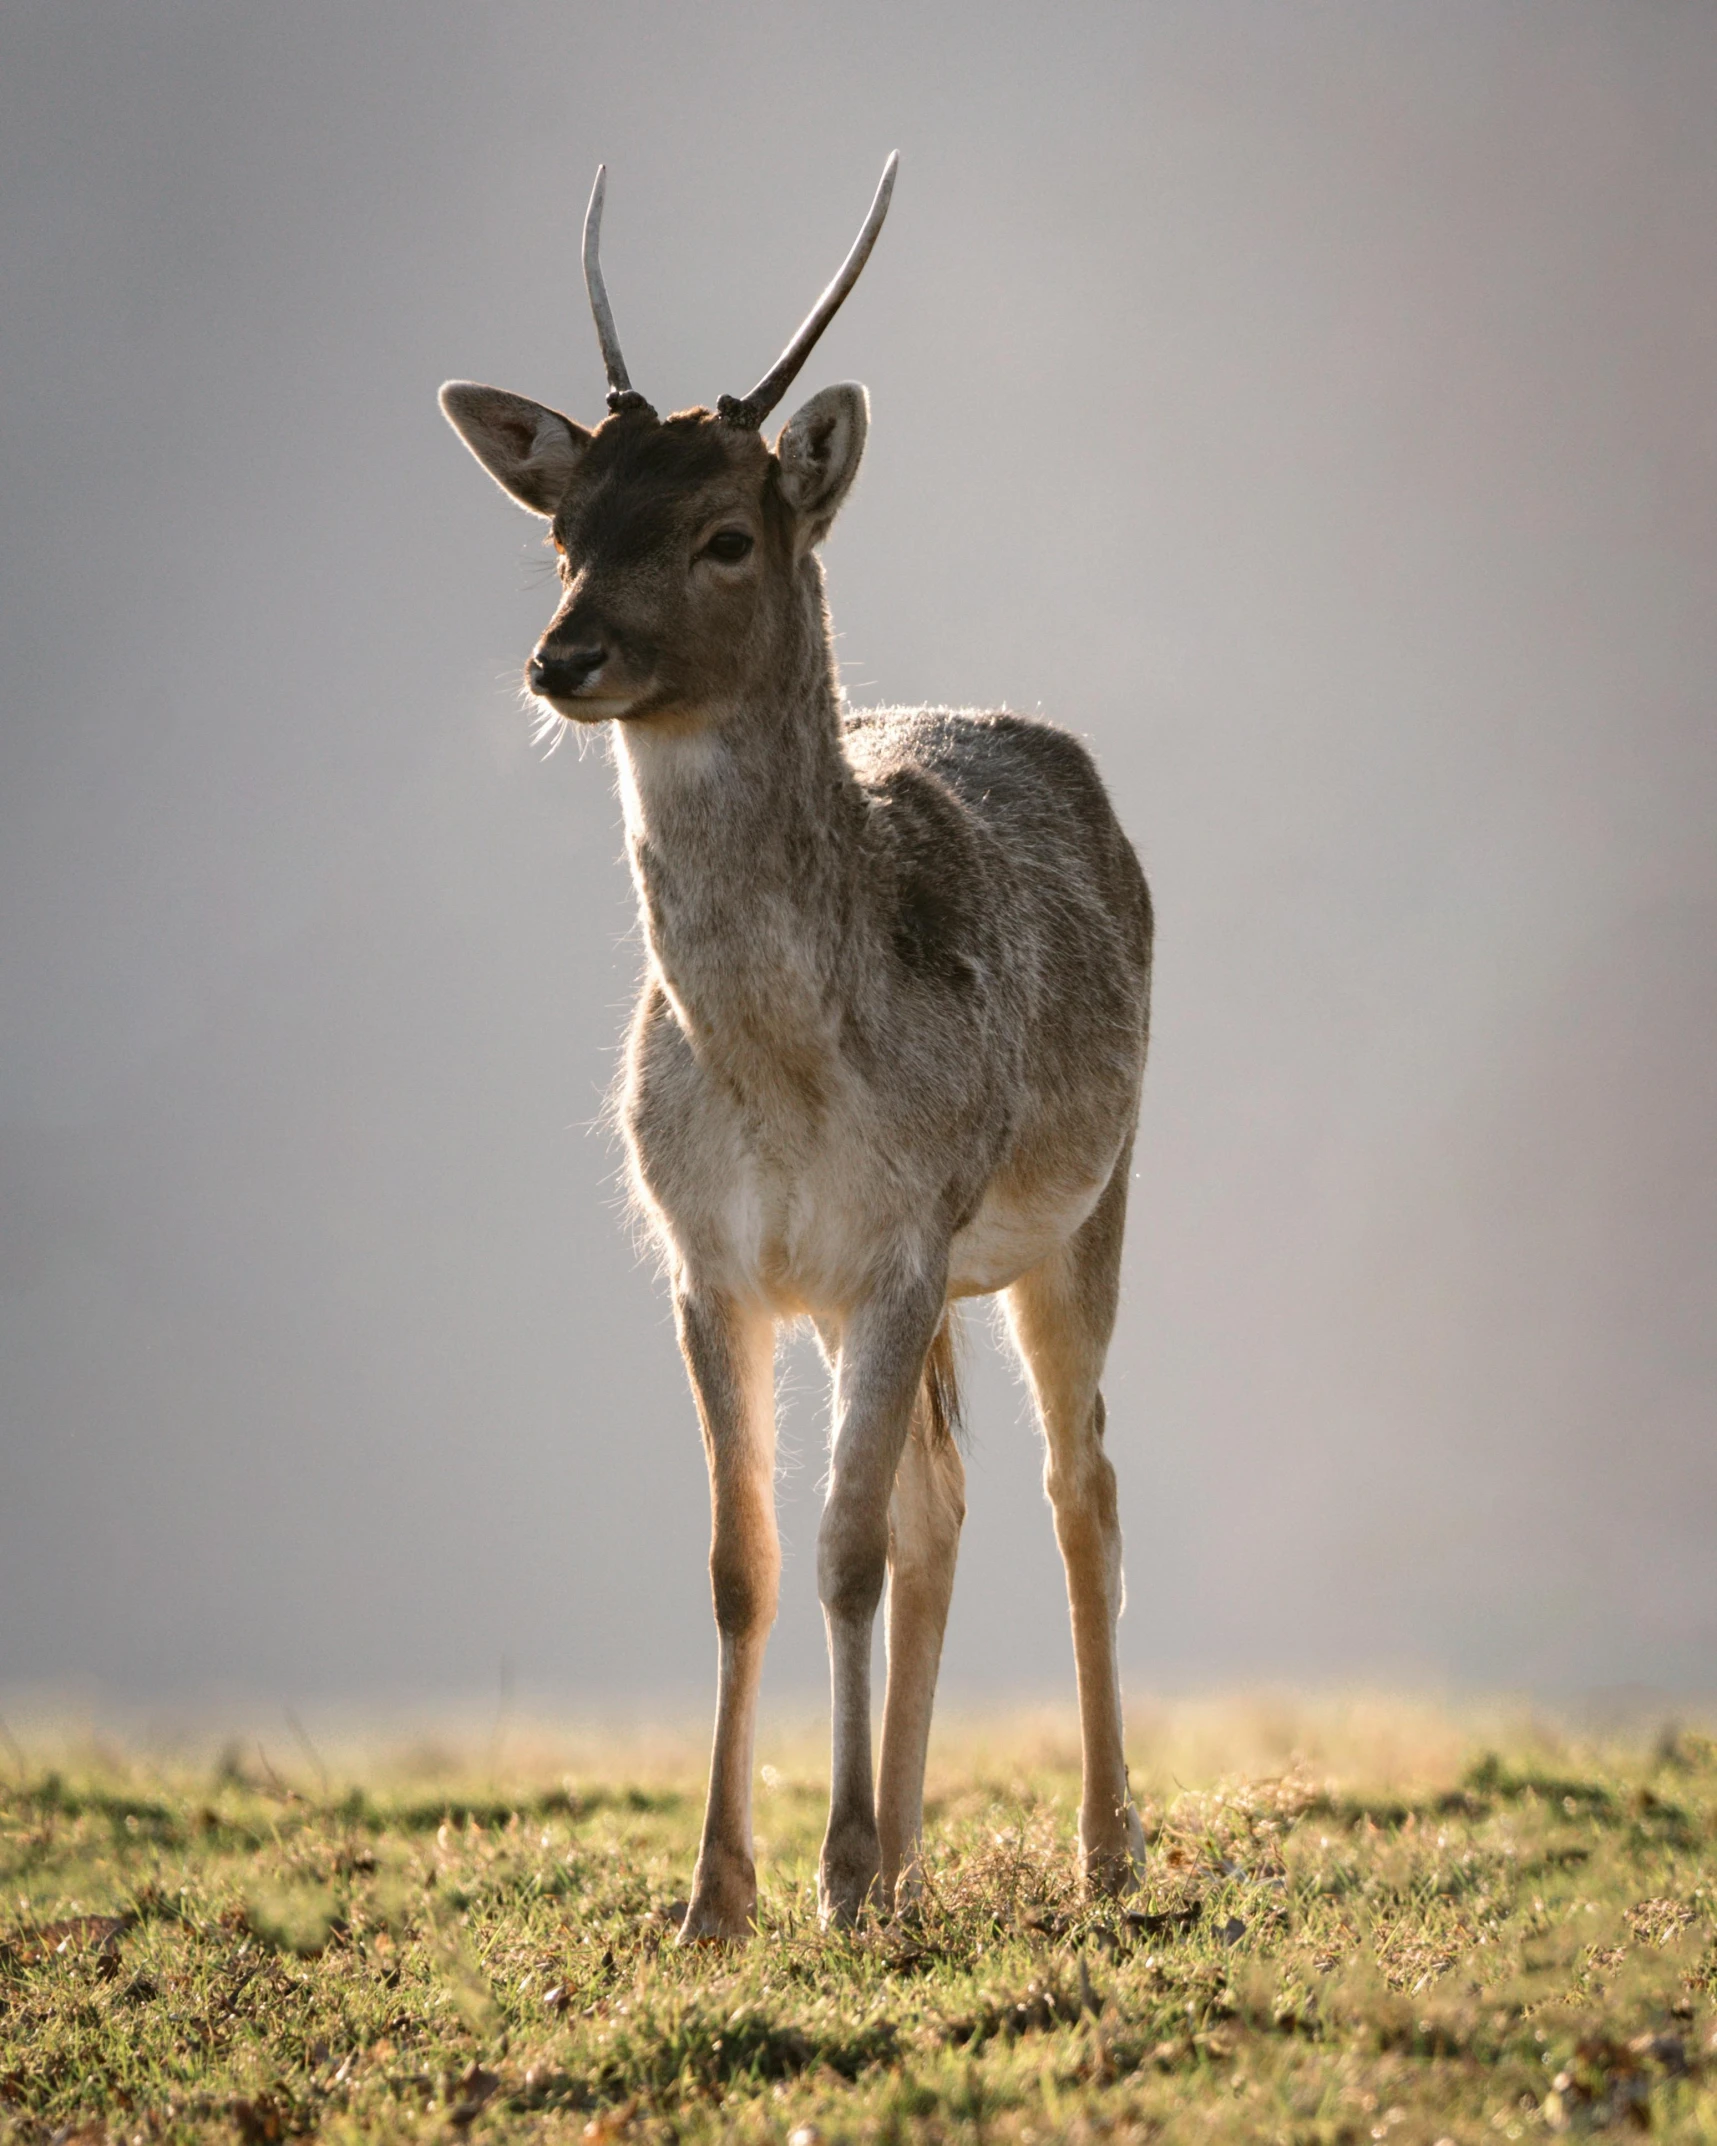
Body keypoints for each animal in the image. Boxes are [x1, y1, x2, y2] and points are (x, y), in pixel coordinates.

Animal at [439, 158, 1150, 1939]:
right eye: (562, 528)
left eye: (724, 533)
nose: (565, 657)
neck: (781, 1082)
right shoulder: (715, 1259)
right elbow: (745, 1561)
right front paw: (719, 1893)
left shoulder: (904, 1235)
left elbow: (839, 1551)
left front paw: (821, 1873)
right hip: (882, 1290)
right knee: (946, 1498)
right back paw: (905, 1857)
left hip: (1083, 1201)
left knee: (1079, 1483)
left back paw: (1104, 1845)